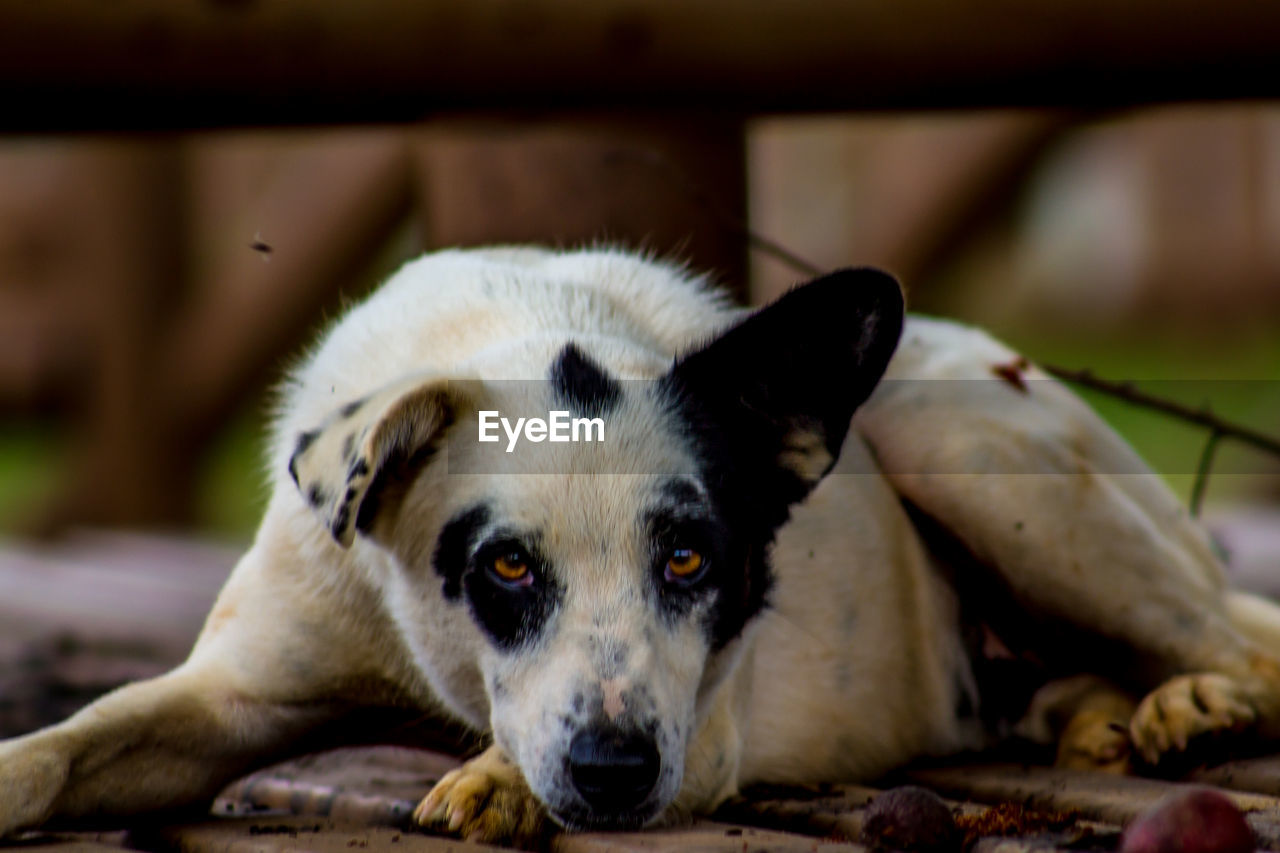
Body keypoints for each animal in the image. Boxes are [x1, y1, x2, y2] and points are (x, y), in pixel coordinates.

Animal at [2, 247, 1280, 845]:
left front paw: (496, 779)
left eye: (688, 561)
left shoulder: (701, 724)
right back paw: (1111, 716)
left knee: (1239, 646)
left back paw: (1193, 699)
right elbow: (73, 741)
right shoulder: (232, 691)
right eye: (504, 565)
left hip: (964, 440)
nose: (613, 771)